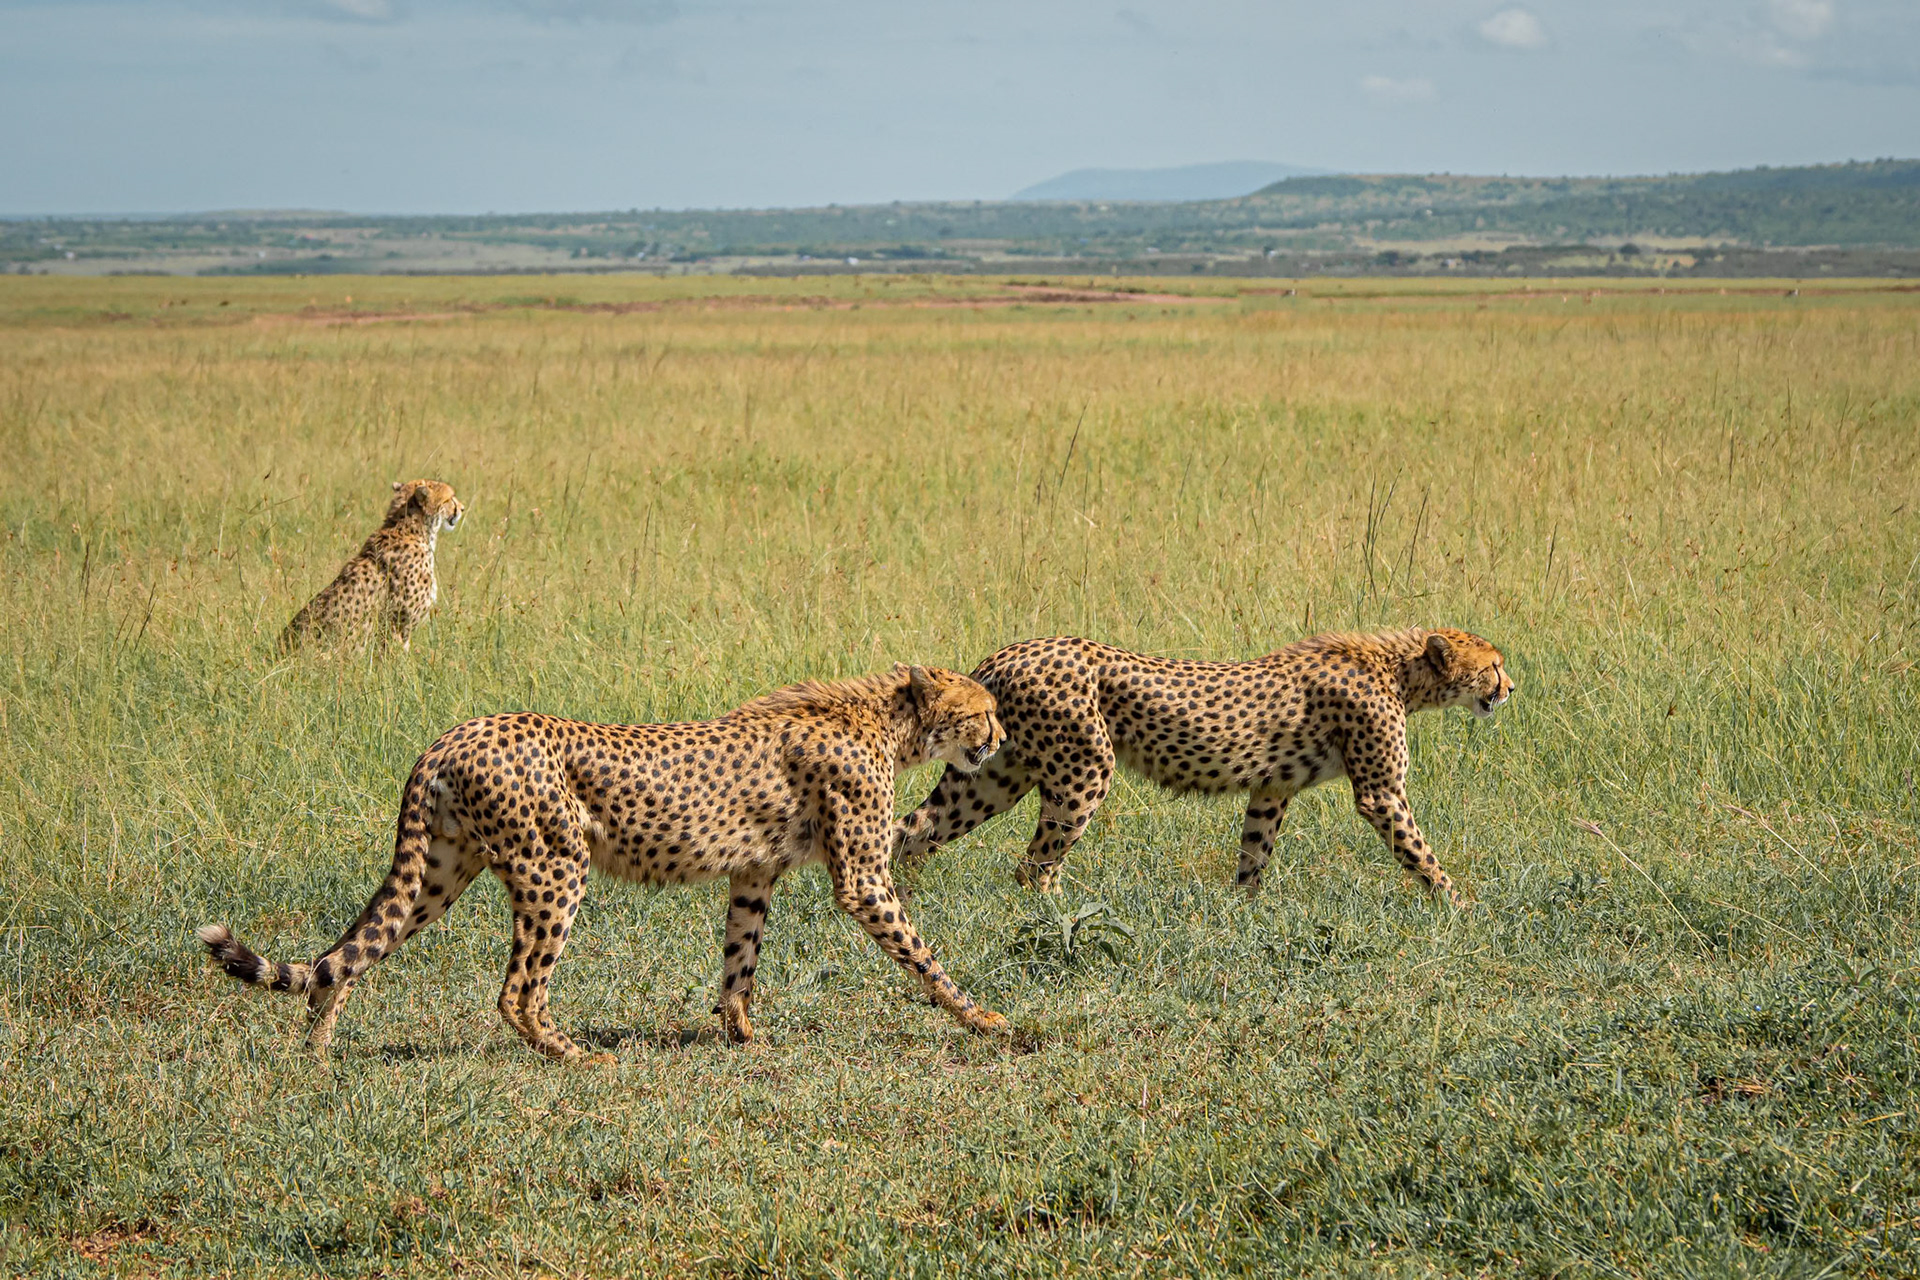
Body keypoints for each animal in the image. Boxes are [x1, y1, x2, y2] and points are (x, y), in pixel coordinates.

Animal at [199, 664, 1009, 1061]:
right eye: (982, 711)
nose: (1000, 739)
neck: (889, 720)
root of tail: (453, 735)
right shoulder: (863, 879)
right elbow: (922, 953)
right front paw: (983, 1018)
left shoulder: (752, 874)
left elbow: (739, 960)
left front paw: (741, 1035)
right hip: (555, 867)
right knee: (516, 990)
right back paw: (573, 1055)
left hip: (442, 870)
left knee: (348, 950)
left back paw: (317, 1047)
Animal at [894, 628, 1513, 905]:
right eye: (1495, 665)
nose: (1511, 687)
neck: (1400, 670)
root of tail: (1005, 653)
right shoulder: (1381, 793)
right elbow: (1419, 850)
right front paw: (1461, 906)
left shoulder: (1272, 786)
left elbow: (1255, 849)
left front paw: (1245, 911)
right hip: (1084, 770)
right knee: (1035, 864)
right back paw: (1056, 914)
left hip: (997, 774)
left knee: (913, 827)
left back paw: (905, 898)